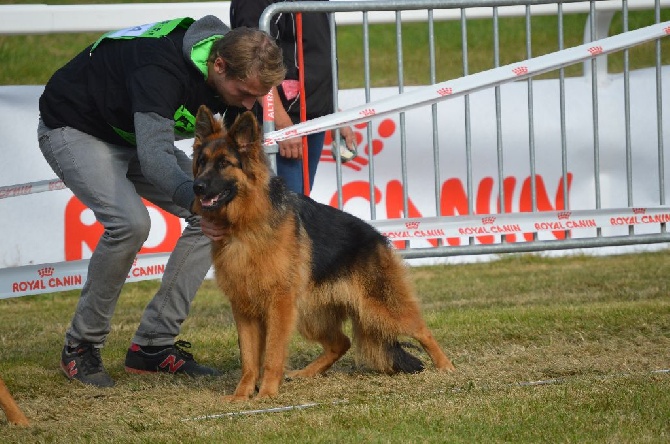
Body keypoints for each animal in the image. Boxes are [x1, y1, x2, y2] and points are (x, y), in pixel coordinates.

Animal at [192, 106, 460, 398]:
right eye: (201, 162)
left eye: (223, 164)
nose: (196, 187)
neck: (245, 224)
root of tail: (377, 237)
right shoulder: (244, 309)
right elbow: (249, 359)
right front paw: (242, 396)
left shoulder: (279, 305)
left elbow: (273, 353)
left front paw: (267, 393)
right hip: (310, 315)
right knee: (341, 342)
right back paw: (306, 373)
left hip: (379, 308)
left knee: (422, 330)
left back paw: (446, 366)